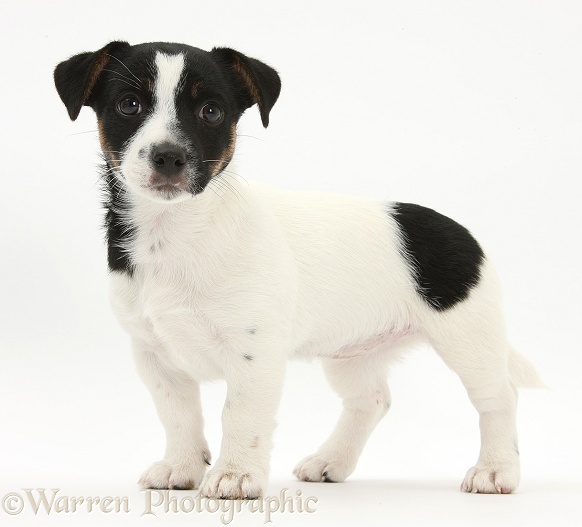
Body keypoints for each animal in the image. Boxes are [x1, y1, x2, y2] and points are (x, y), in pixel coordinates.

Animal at [54, 41, 544, 500]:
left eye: (211, 111)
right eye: (129, 105)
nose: (169, 157)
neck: (176, 230)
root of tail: (466, 236)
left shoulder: (254, 354)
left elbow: (239, 414)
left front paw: (235, 475)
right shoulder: (154, 355)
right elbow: (178, 414)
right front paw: (181, 466)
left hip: (468, 340)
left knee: (499, 398)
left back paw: (496, 470)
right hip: (353, 353)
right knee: (372, 401)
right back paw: (331, 462)